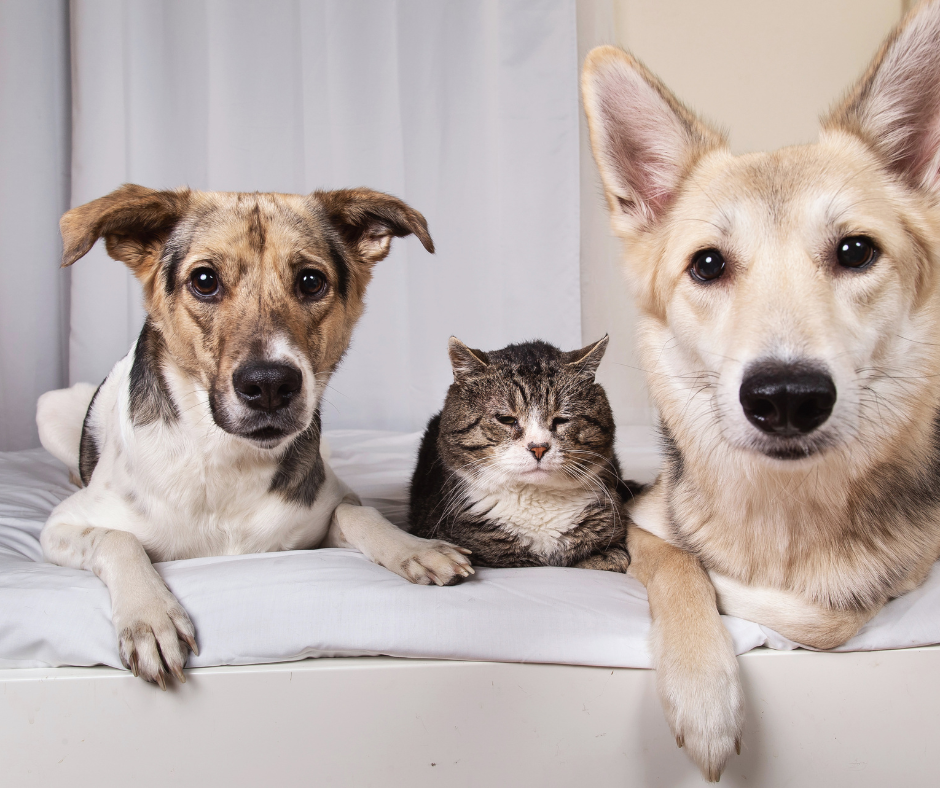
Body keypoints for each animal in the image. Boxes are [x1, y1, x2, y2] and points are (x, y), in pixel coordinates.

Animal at [39, 185, 474, 688]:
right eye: (204, 279)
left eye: (311, 281)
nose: (269, 385)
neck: (228, 457)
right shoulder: (61, 527)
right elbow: (116, 540)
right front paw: (150, 616)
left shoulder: (321, 514)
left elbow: (359, 514)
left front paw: (415, 549)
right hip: (50, 410)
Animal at [580, 0, 940, 776]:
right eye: (708, 265)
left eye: (856, 251)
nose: (786, 398)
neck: (785, 513)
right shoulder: (644, 523)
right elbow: (679, 562)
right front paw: (705, 693)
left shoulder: (912, 568)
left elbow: (832, 614)